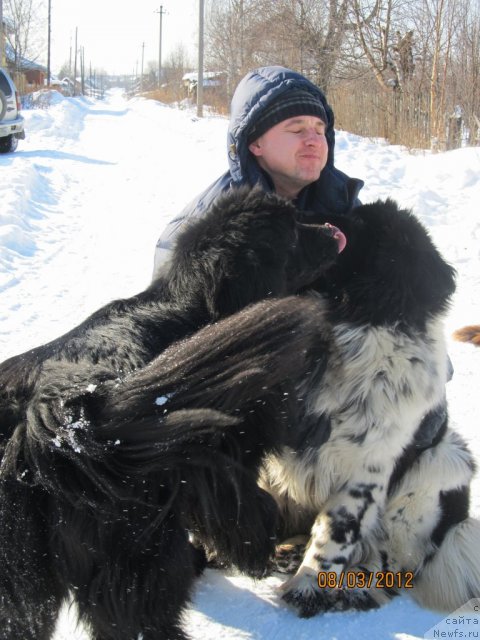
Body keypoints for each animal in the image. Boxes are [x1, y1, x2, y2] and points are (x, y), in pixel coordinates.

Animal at [0, 188, 480, 636]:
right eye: (293, 232)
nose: (329, 221)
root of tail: (58, 419)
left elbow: (327, 530)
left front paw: (297, 578)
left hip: (436, 468)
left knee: (394, 553)